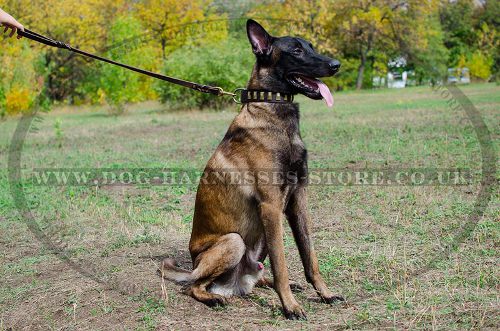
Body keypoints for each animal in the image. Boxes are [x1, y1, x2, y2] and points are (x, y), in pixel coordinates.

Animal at [162, 19, 342, 320]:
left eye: (311, 46)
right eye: (296, 51)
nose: (336, 64)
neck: (273, 106)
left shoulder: (297, 201)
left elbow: (310, 257)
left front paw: (325, 293)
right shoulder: (271, 205)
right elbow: (282, 266)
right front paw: (290, 306)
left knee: (258, 277)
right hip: (235, 241)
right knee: (193, 286)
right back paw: (213, 298)